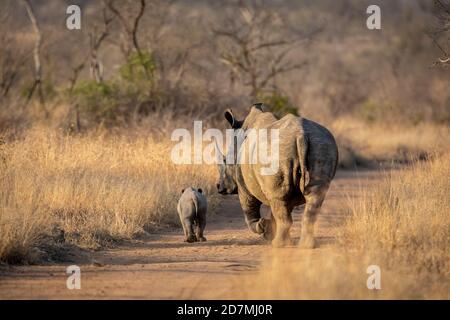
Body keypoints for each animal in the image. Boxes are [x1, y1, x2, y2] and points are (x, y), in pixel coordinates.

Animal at [215, 104, 338, 249]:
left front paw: (263, 228)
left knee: (279, 200)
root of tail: (300, 135)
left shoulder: (243, 185)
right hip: (321, 145)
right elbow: (278, 210)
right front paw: (269, 230)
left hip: (274, 153)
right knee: (313, 196)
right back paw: (306, 246)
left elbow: (249, 208)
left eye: (224, 162)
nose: (219, 187)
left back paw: (278, 245)